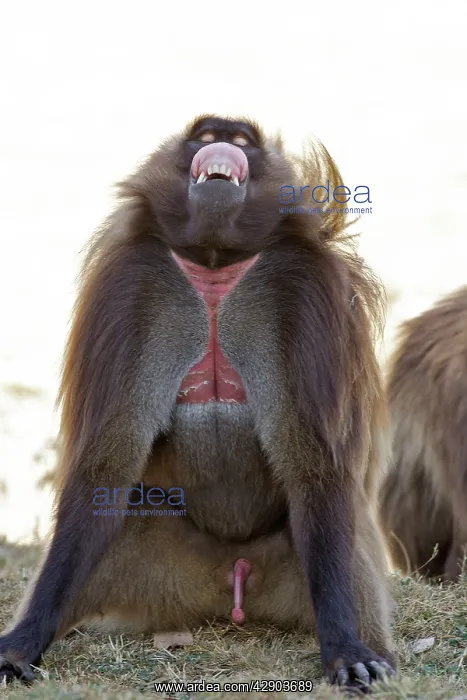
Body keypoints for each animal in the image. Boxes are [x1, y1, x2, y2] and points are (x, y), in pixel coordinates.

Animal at [0, 114, 396, 691]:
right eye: (205, 139)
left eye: (243, 141)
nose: (225, 135)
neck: (213, 266)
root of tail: (227, 586)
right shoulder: (133, 283)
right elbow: (105, 465)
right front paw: (24, 639)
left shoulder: (304, 289)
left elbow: (315, 466)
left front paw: (346, 648)